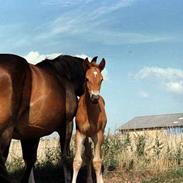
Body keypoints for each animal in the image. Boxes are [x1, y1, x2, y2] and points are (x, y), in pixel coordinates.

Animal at [0, 53, 90, 182]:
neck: (62, 75)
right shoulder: (67, 124)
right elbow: (65, 155)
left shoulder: (31, 133)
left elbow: (29, 160)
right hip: (6, 131)